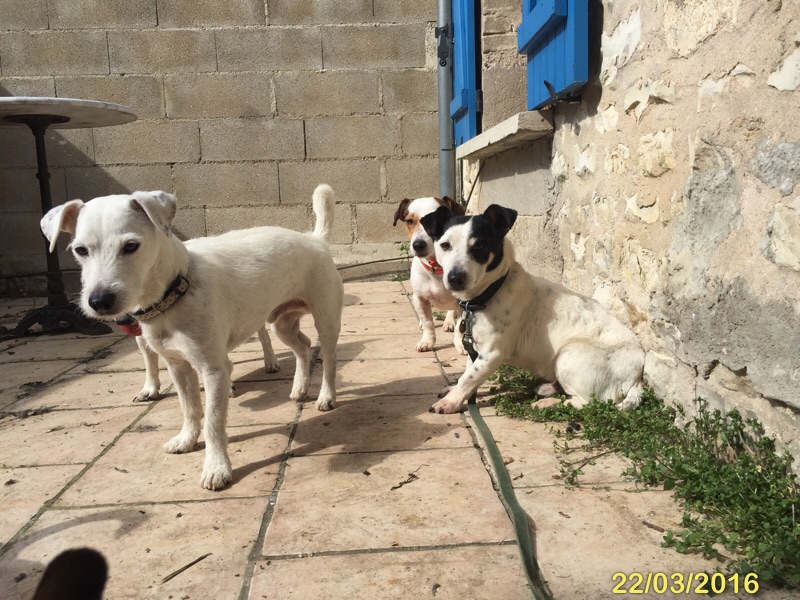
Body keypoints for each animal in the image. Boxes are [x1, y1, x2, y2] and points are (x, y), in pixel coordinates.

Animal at [41, 185, 340, 490]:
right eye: (80, 250)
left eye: (131, 246)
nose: (99, 301)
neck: (176, 290)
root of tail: (313, 238)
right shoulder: (177, 366)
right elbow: (189, 408)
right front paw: (186, 440)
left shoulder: (215, 370)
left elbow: (213, 421)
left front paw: (216, 468)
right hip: (281, 323)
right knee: (303, 346)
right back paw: (299, 388)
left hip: (326, 319)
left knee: (328, 358)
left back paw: (326, 396)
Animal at [418, 204, 644, 414]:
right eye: (445, 245)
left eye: (480, 245)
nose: (455, 278)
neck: (489, 293)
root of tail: (638, 377)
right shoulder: (476, 347)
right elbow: (469, 373)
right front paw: (459, 393)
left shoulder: (492, 353)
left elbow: (468, 378)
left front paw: (451, 402)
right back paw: (549, 389)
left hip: (569, 355)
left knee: (588, 403)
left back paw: (549, 403)